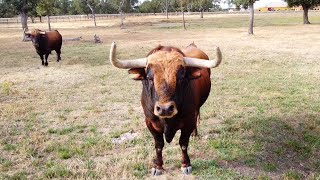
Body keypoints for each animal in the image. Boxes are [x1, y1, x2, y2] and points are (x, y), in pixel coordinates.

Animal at [109, 41, 221, 174]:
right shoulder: (150, 123)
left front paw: (186, 164)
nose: (165, 109)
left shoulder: (188, 121)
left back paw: (195, 133)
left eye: (181, 77)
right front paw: (158, 166)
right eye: (150, 78)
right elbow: (158, 145)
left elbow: (183, 143)